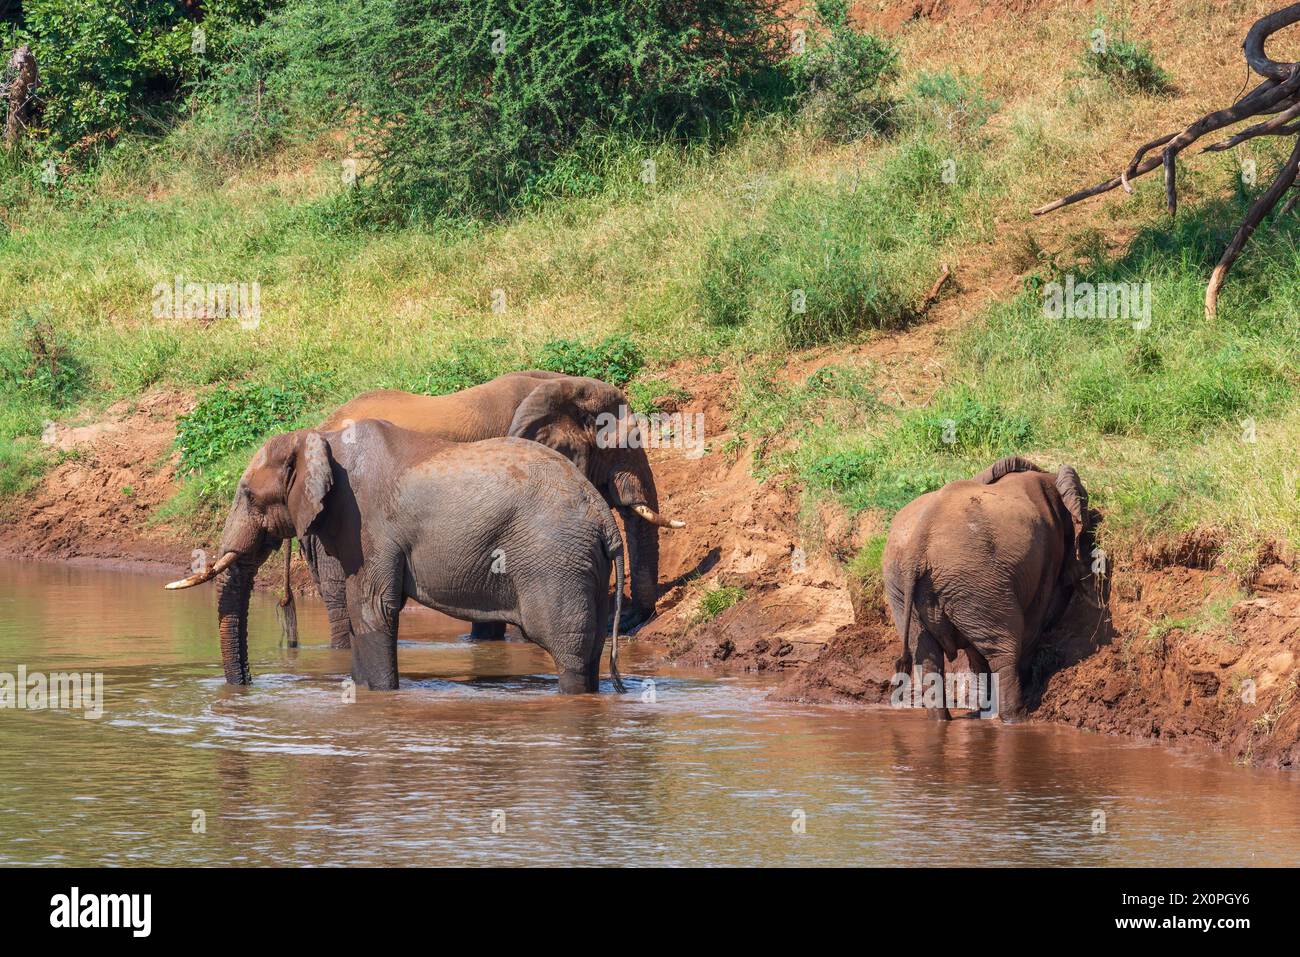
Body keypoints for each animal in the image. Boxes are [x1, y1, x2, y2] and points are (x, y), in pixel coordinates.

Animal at [159, 418, 626, 696]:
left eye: (250, 496)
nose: (247, 686)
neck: (318, 439)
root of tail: (604, 516)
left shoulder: (365, 522)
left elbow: (372, 609)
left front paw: (380, 697)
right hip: (582, 565)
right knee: (589, 649)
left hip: (555, 560)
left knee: (568, 650)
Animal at [889, 455, 1092, 717]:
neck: (1047, 476)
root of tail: (917, 545)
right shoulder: (1050, 549)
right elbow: (1036, 620)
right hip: (974, 578)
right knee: (1004, 650)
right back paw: (1014, 716)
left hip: (905, 588)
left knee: (926, 656)